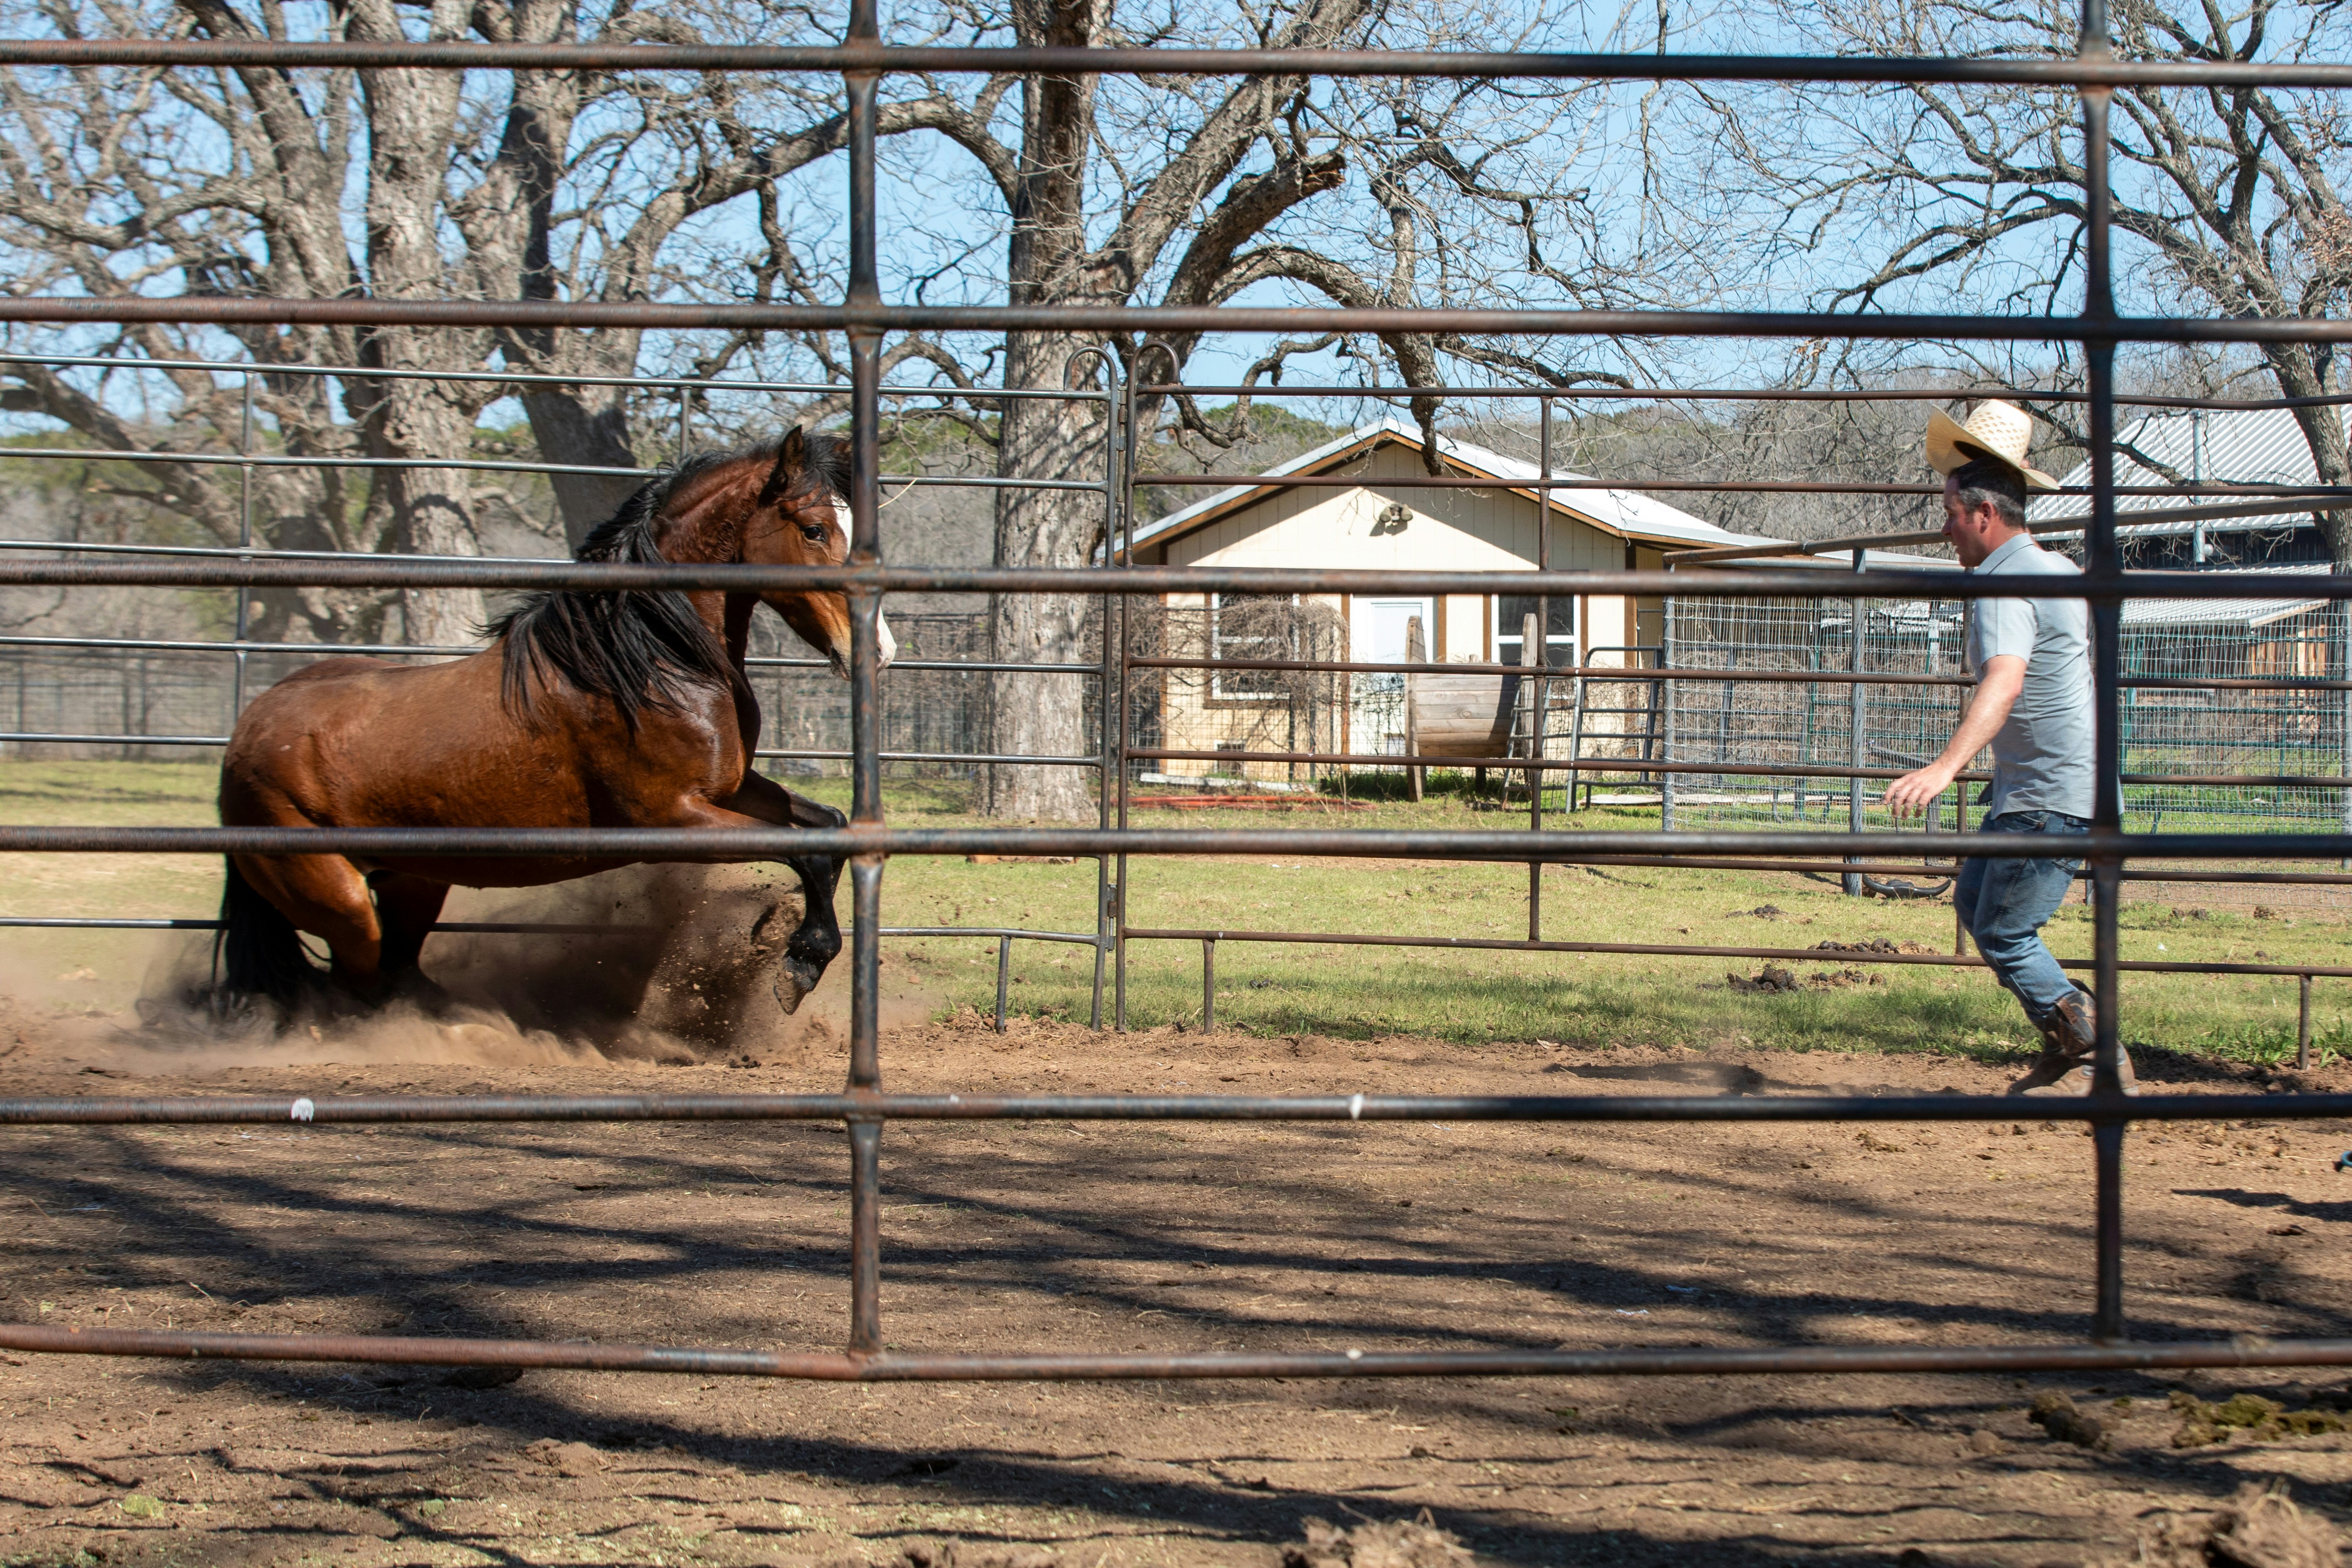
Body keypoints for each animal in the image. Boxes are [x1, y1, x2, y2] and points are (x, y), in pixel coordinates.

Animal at [213, 426, 893, 1017]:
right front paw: (797, 964)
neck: (646, 661)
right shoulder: (673, 817)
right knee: (355, 983)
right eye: (814, 528)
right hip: (343, 902)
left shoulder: (729, 789)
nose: (878, 651)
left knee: (398, 971)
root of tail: (244, 736)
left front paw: (794, 942)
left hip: (412, 882)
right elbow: (807, 851)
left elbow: (828, 828)